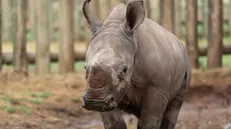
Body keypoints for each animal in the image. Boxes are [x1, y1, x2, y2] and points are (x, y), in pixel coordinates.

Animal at [81, 0, 191, 128]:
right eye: (85, 68)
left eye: (124, 70)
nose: (95, 101)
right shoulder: (109, 94)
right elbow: (115, 123)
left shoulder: (158, 88)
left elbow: (148, 123)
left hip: (185, 65)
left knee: (174, 108)